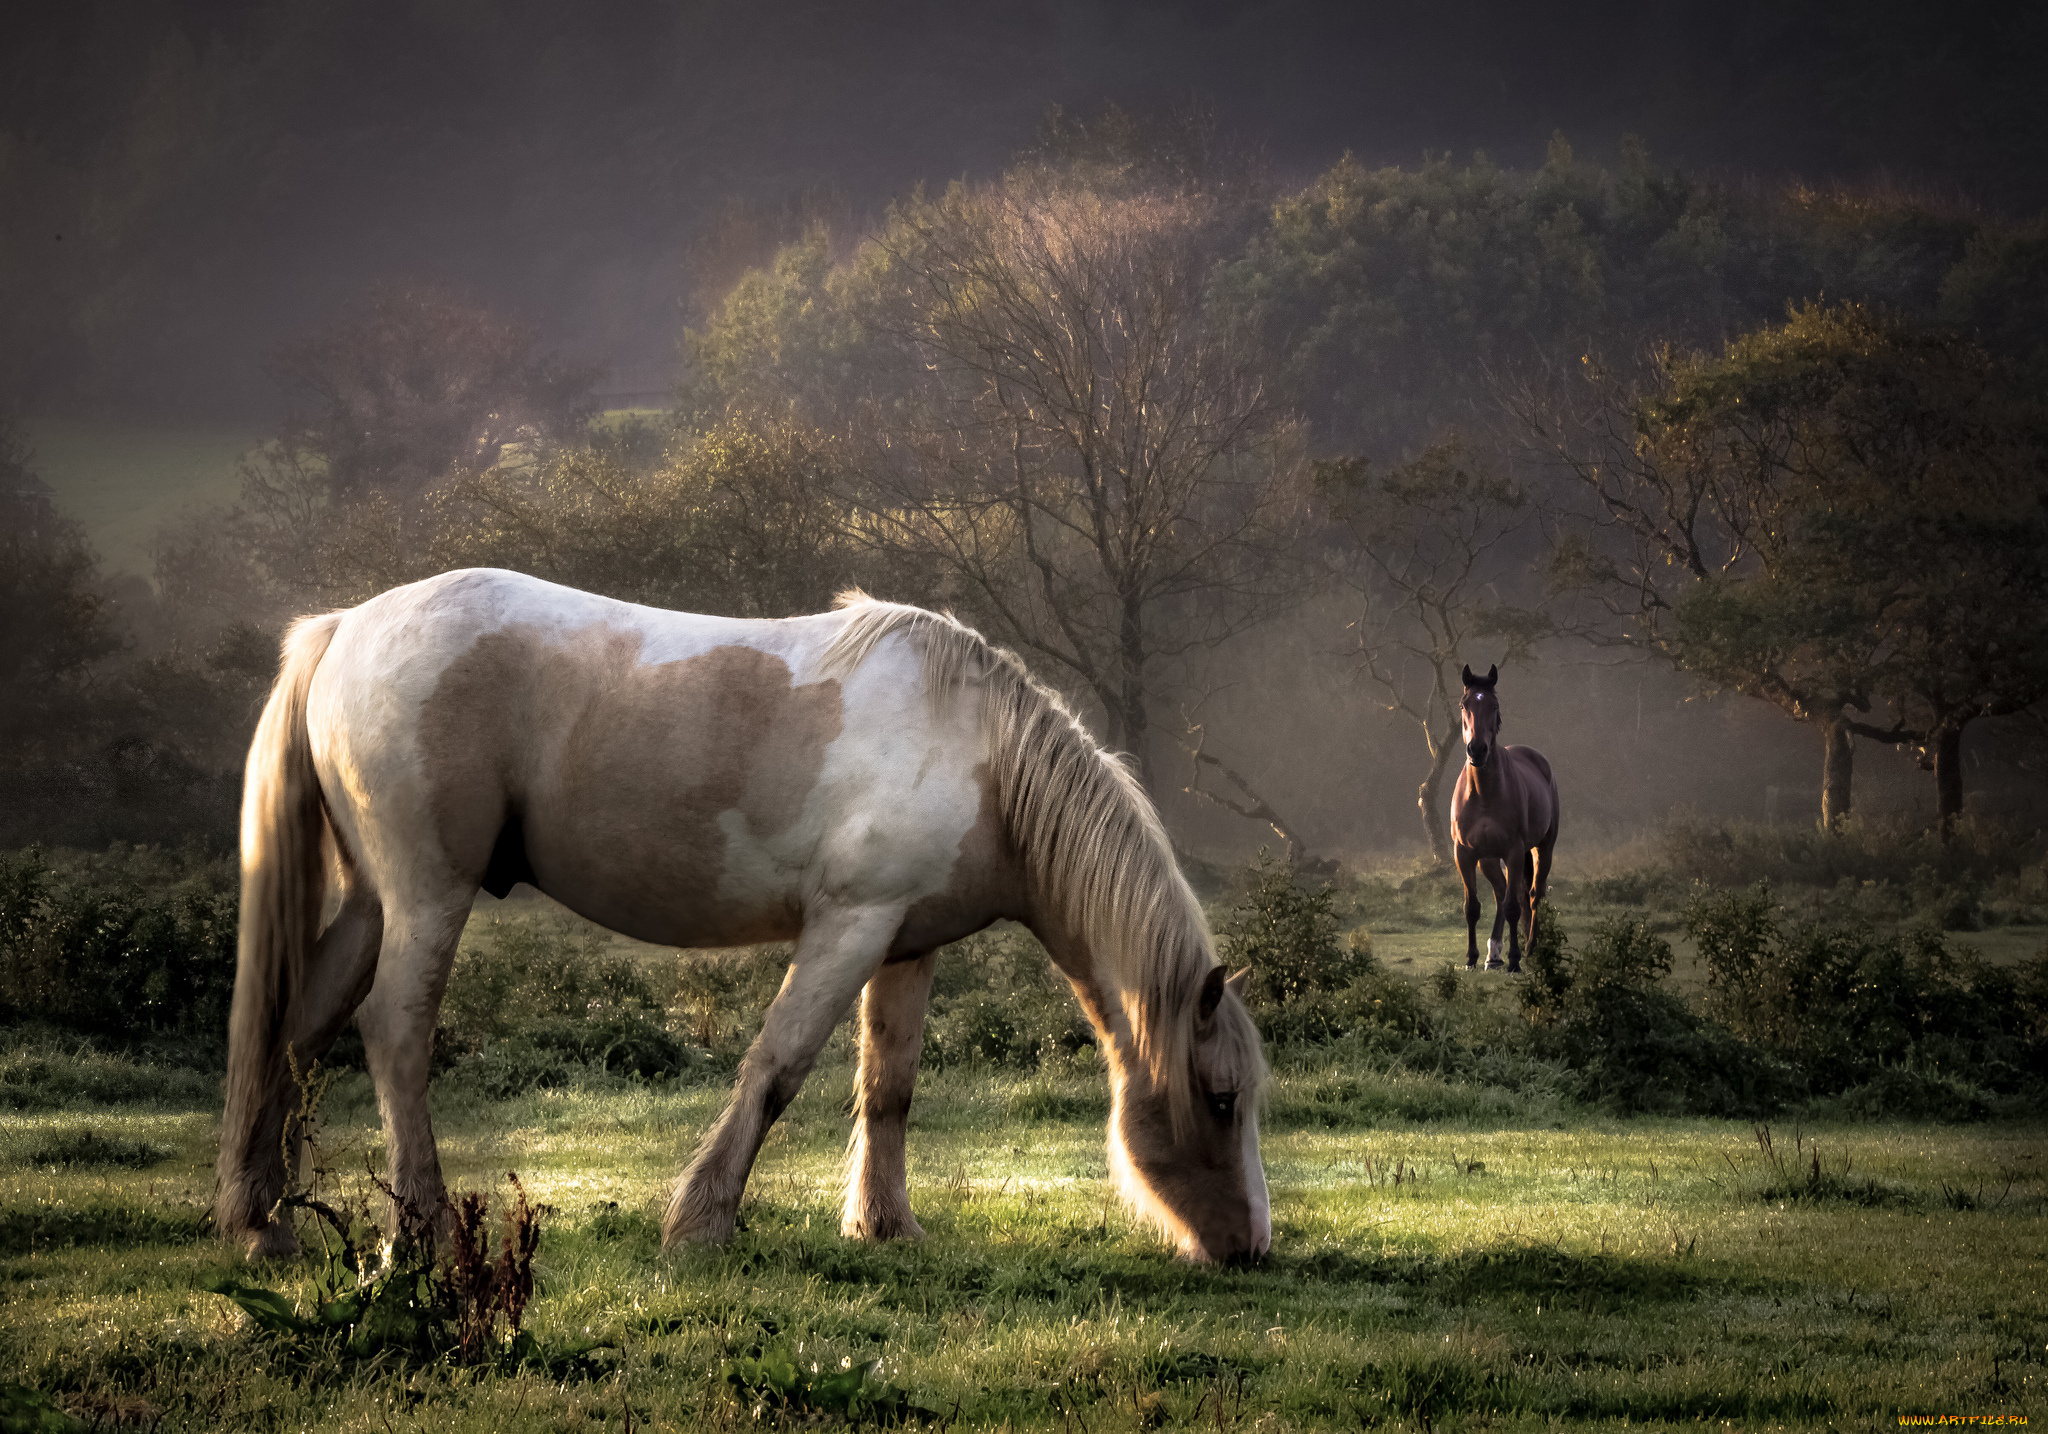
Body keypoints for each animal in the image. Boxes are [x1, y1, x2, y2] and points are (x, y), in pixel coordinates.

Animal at [216, 569, 1269, 1261]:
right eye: (1221, 1099)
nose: (1250, 1247)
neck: (979, 755)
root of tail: (345, 627)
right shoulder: (848, 928)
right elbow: (776, 1070)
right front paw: (702, 1224)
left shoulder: (906, 945)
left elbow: (888, 1088)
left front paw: (886, 1228)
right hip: (428, 895)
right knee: (394, 1035)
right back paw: (420, 1233)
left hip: (372, 904)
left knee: (298, 1030)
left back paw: (260, 1221)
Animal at [1449, 667, 1556, 971]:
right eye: (1463, 705)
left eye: (1494, 706)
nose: (1477, 750)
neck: (1484, 794)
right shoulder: (1465, 854)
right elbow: (1472, 907)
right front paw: (1471, 959)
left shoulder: (1514, 851)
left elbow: (1513, 906)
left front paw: (1515, 961)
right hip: (1487, 859)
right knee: (1499, 893)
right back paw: (1493, 955)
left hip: (1542, 849)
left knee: (1532, 895)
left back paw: (1530, 948)